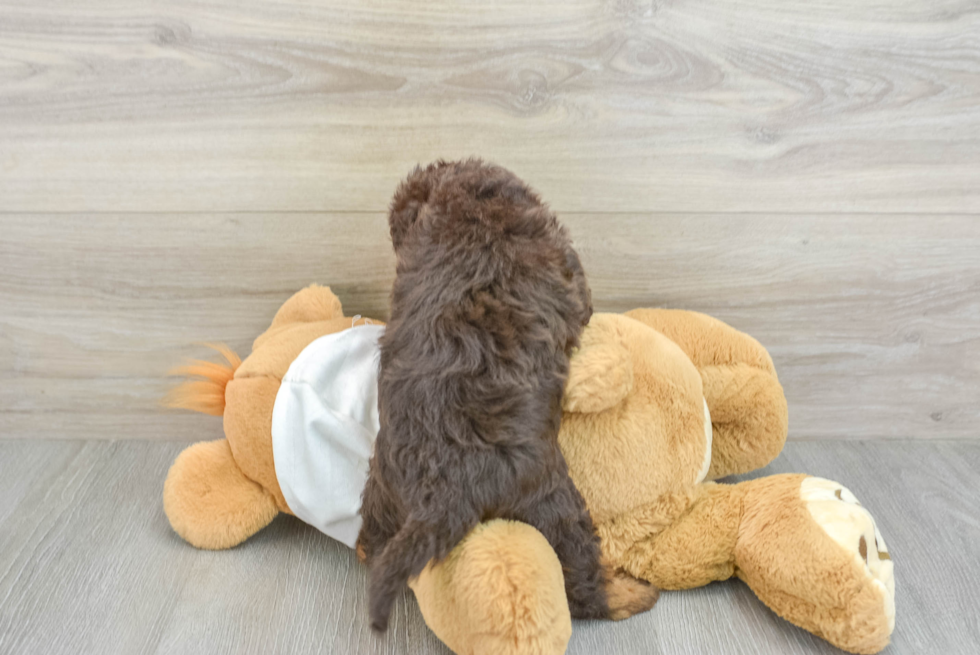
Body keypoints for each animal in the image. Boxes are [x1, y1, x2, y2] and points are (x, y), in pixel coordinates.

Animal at [358, 158, 660, 632]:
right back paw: (630, 595)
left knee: (374, 536)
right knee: (581, 580)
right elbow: (583, 300)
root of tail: (445, 489)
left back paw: (365, 549)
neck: (473, 206)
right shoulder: (567, 268)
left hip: (383, 482)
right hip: (553, 506)